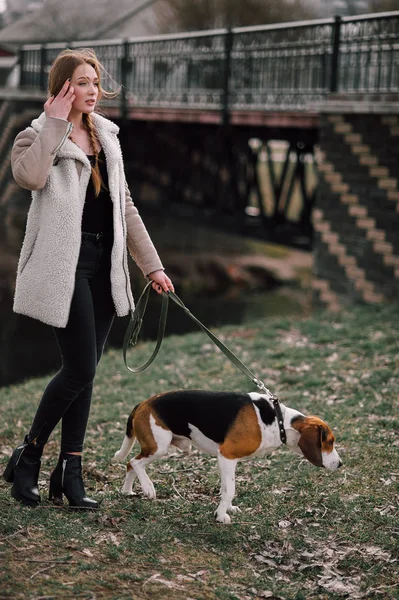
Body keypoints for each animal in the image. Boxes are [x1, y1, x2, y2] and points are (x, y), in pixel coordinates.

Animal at [113, 392, 344, 524]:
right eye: (330, 442)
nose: (341, 464)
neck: (278, 421)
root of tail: (143, 403)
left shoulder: (227, 460)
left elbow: (226, 488)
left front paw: (225, 508)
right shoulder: (227, 455)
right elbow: (230, 489)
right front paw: (222, 516)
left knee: (129, 464)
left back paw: (127, 491)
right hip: (159, 447)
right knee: (135, 462)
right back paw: (148, 488)